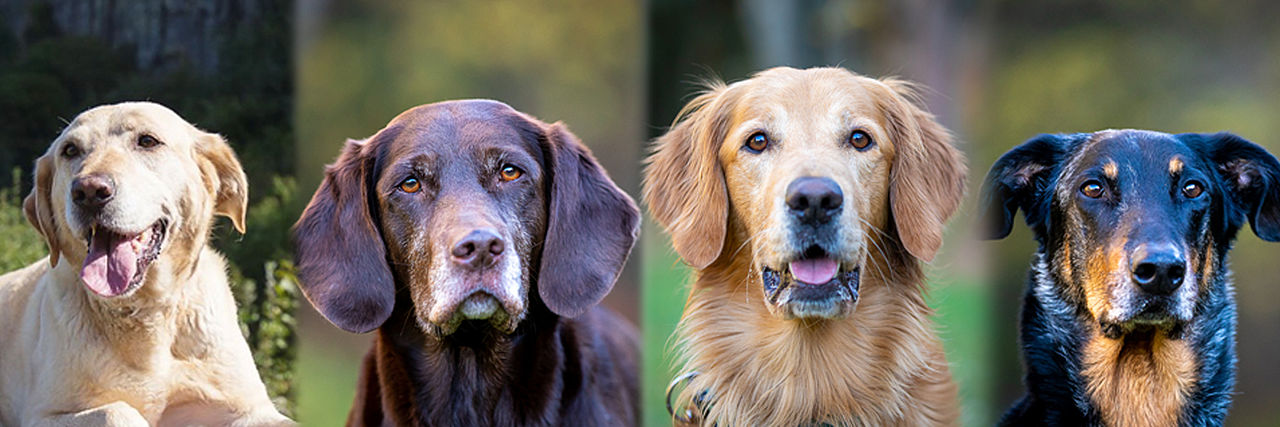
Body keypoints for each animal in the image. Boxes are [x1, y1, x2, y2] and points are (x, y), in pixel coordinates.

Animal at [0, 101, 293, 424]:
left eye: (148, 141)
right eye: (70, 150)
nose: (88, 191)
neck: (147, 311)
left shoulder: (250, 407)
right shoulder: (44, 414)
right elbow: (117, 410)